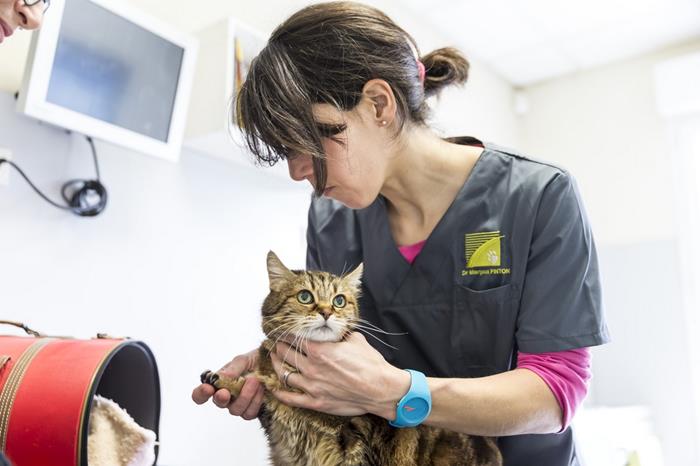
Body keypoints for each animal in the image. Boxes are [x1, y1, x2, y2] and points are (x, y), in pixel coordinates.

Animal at [200, 251, 500, 466]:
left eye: (339, 301)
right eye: (305, 296)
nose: (326, 312)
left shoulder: (352, 440)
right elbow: (262, 387)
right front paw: (225, 380)